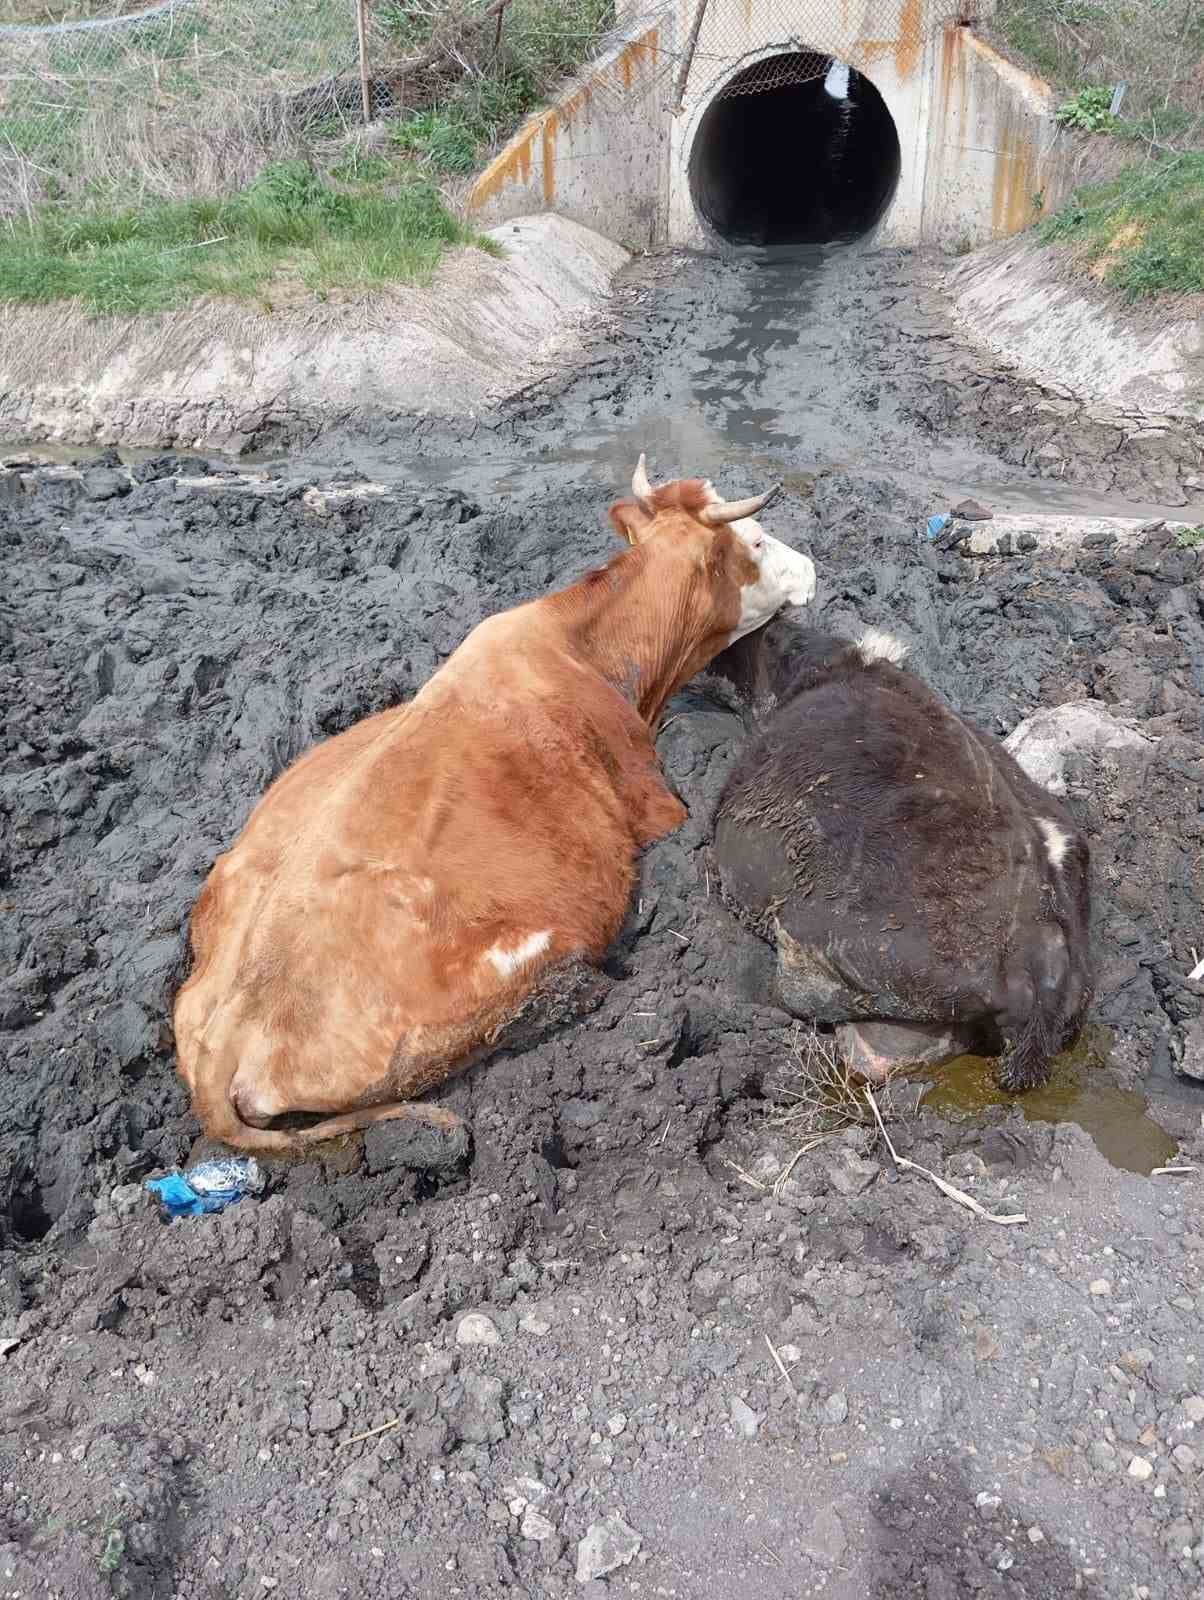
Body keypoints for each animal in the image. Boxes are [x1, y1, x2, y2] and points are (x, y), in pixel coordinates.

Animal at [173, 464, 819, 1152]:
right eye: (756, 541)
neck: (595, 655)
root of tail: (227, 1033)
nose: (811, 568)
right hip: (518, 964)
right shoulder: (657, 802)